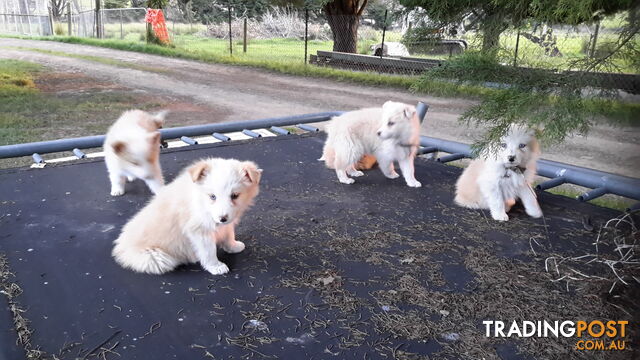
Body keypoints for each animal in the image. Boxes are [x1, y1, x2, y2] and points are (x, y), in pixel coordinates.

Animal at [111, 158, 262, 276]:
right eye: (213, 196)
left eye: (235, 195)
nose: (222, 219)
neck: (200, 200)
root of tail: (119, 247)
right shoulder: (199, 231)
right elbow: (209, 251)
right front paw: (216, 266)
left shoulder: (225, 224)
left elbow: (228, 234)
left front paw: (233, 246)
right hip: (156, 258)